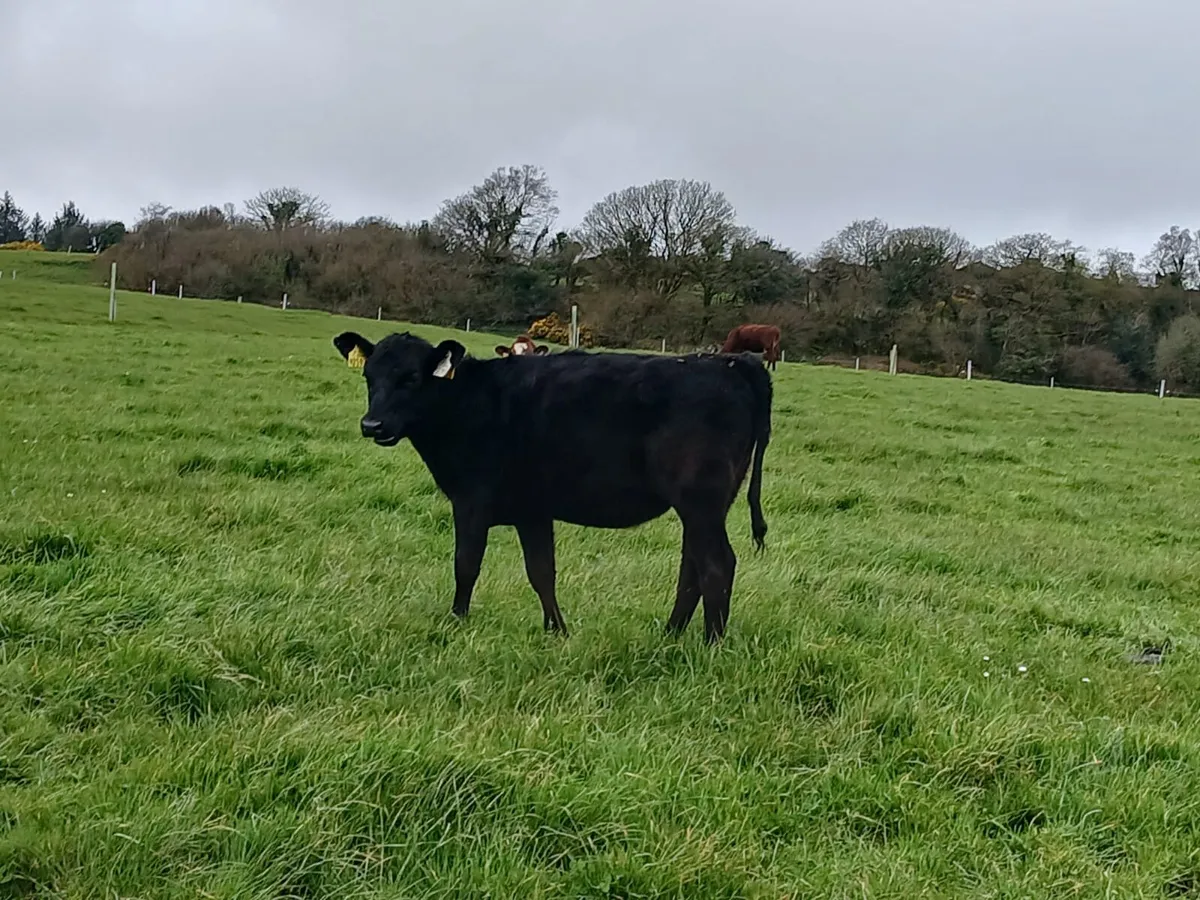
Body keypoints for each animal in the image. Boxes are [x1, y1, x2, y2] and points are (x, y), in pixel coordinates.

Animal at [332, 330, 773, 644]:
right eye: (369, 376)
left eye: (411, 378)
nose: (372, 425)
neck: (471, 402)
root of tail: (730, 363)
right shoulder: (532, 509)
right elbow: (542, 571)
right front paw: (557, 632)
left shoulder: (471, 501)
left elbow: (466, 564)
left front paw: (456, 622)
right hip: (703, 506)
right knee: (691, 568)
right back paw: (670, 635)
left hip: (700, 501)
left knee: (716, 565)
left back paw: (711, 645)